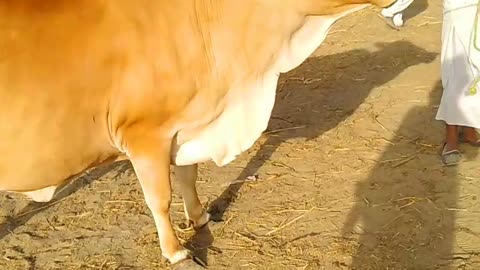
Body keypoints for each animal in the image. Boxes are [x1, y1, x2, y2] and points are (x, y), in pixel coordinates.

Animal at [0, 0, 398, 268]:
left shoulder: (184, 129)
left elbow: (188, 177)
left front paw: (200, 217)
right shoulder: (145, 136)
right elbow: (159, 199)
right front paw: (177, 251)